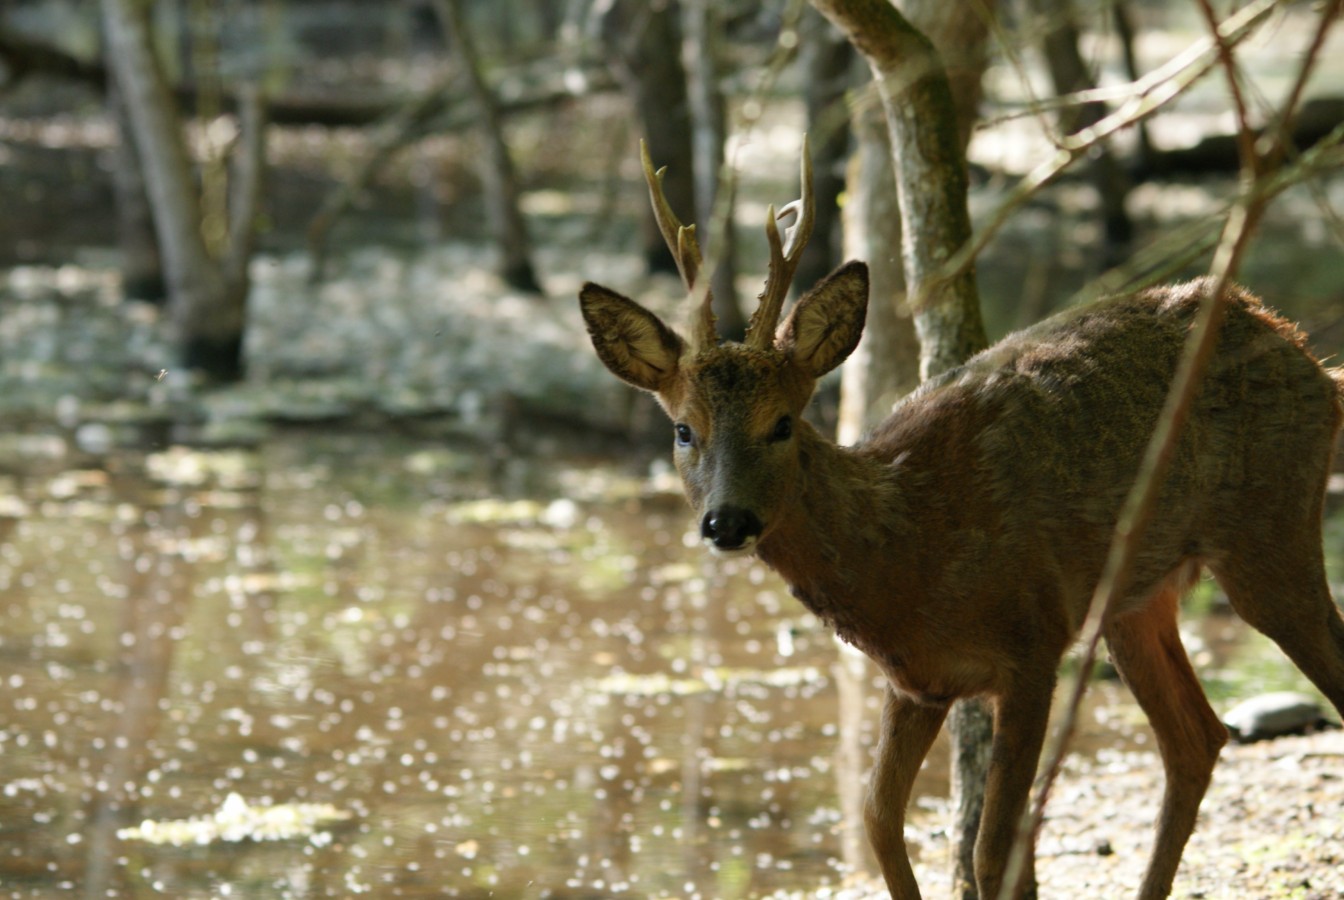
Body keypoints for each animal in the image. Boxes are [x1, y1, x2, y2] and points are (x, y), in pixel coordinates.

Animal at [575, 144, 1344, 897]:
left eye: (783, 423)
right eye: (683, 430)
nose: (727, 521)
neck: (907, 549)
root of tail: (1310, 355)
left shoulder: (1032, 642)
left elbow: (992, 847)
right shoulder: (918, 681)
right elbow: (880, 822)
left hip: (1270, 526)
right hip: (1136, 598)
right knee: (1197, 738)